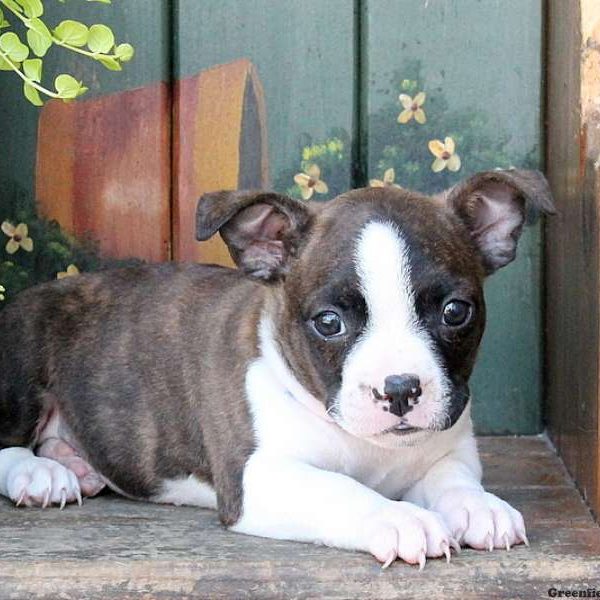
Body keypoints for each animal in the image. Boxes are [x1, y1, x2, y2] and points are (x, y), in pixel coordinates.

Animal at [0, 170, 552, 568]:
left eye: (455, 312)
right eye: (329, 322)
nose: (399, 389)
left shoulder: (449, 450)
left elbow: (453, 479)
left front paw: (479, 506)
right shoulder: (260, 475)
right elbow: (339, 488)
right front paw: (398, 517)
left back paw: (72, 462)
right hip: (23, 355)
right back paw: (39, 473)